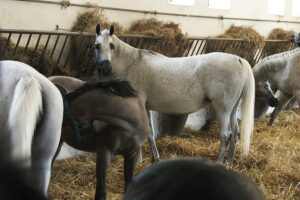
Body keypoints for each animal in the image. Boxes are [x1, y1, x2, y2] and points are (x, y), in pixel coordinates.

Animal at [94, 24, 255, 163]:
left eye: (112, 45)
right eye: (97, 45)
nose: (105, 67)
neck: (131, 64)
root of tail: (239, 60)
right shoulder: (146, 107)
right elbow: (150, 134)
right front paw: (154, 157)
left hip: (223, 110)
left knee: (225, 135)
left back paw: (219, 162)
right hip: (232, 110)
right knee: (235, 133)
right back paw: (229, 161)